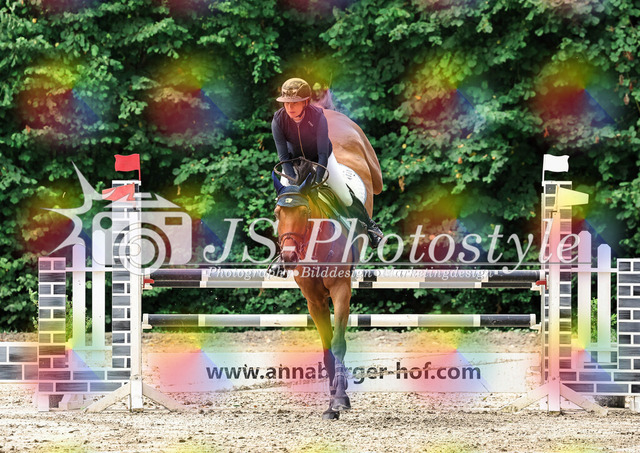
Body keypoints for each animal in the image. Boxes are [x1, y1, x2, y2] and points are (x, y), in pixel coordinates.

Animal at [271, 107, 382, 420]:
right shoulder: (314, 298)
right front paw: (334, 401)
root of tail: (331, 114)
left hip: (372, 167)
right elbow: (326, 348)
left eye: (303, 211)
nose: (288, 257)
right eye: (277, 213)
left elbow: (339, 342)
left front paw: (338, 401)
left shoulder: (340, 290)